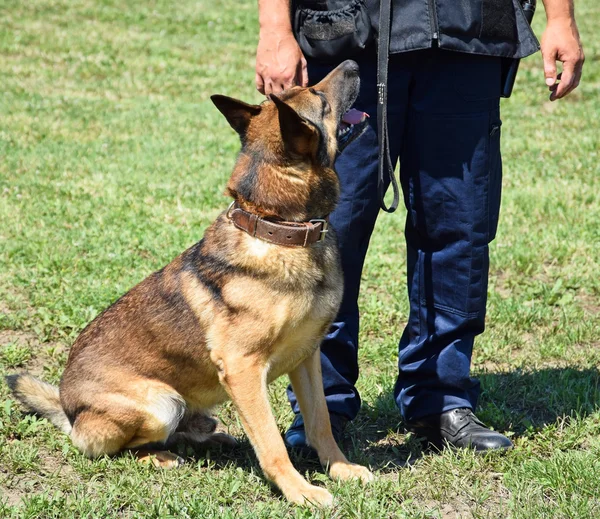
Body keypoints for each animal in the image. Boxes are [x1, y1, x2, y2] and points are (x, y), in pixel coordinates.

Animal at [7, 60, 372, 508]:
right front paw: (299, 491)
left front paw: (340, 469)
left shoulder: (306, 357)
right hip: (160, 403)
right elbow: (271, 443)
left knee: (190, 430)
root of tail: (67, 407)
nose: (353, 63)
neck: (277, 228)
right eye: (318, 96)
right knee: (116, 446)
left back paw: (213, 438)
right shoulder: (243, 369)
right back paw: (160, 456)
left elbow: (321, 422)